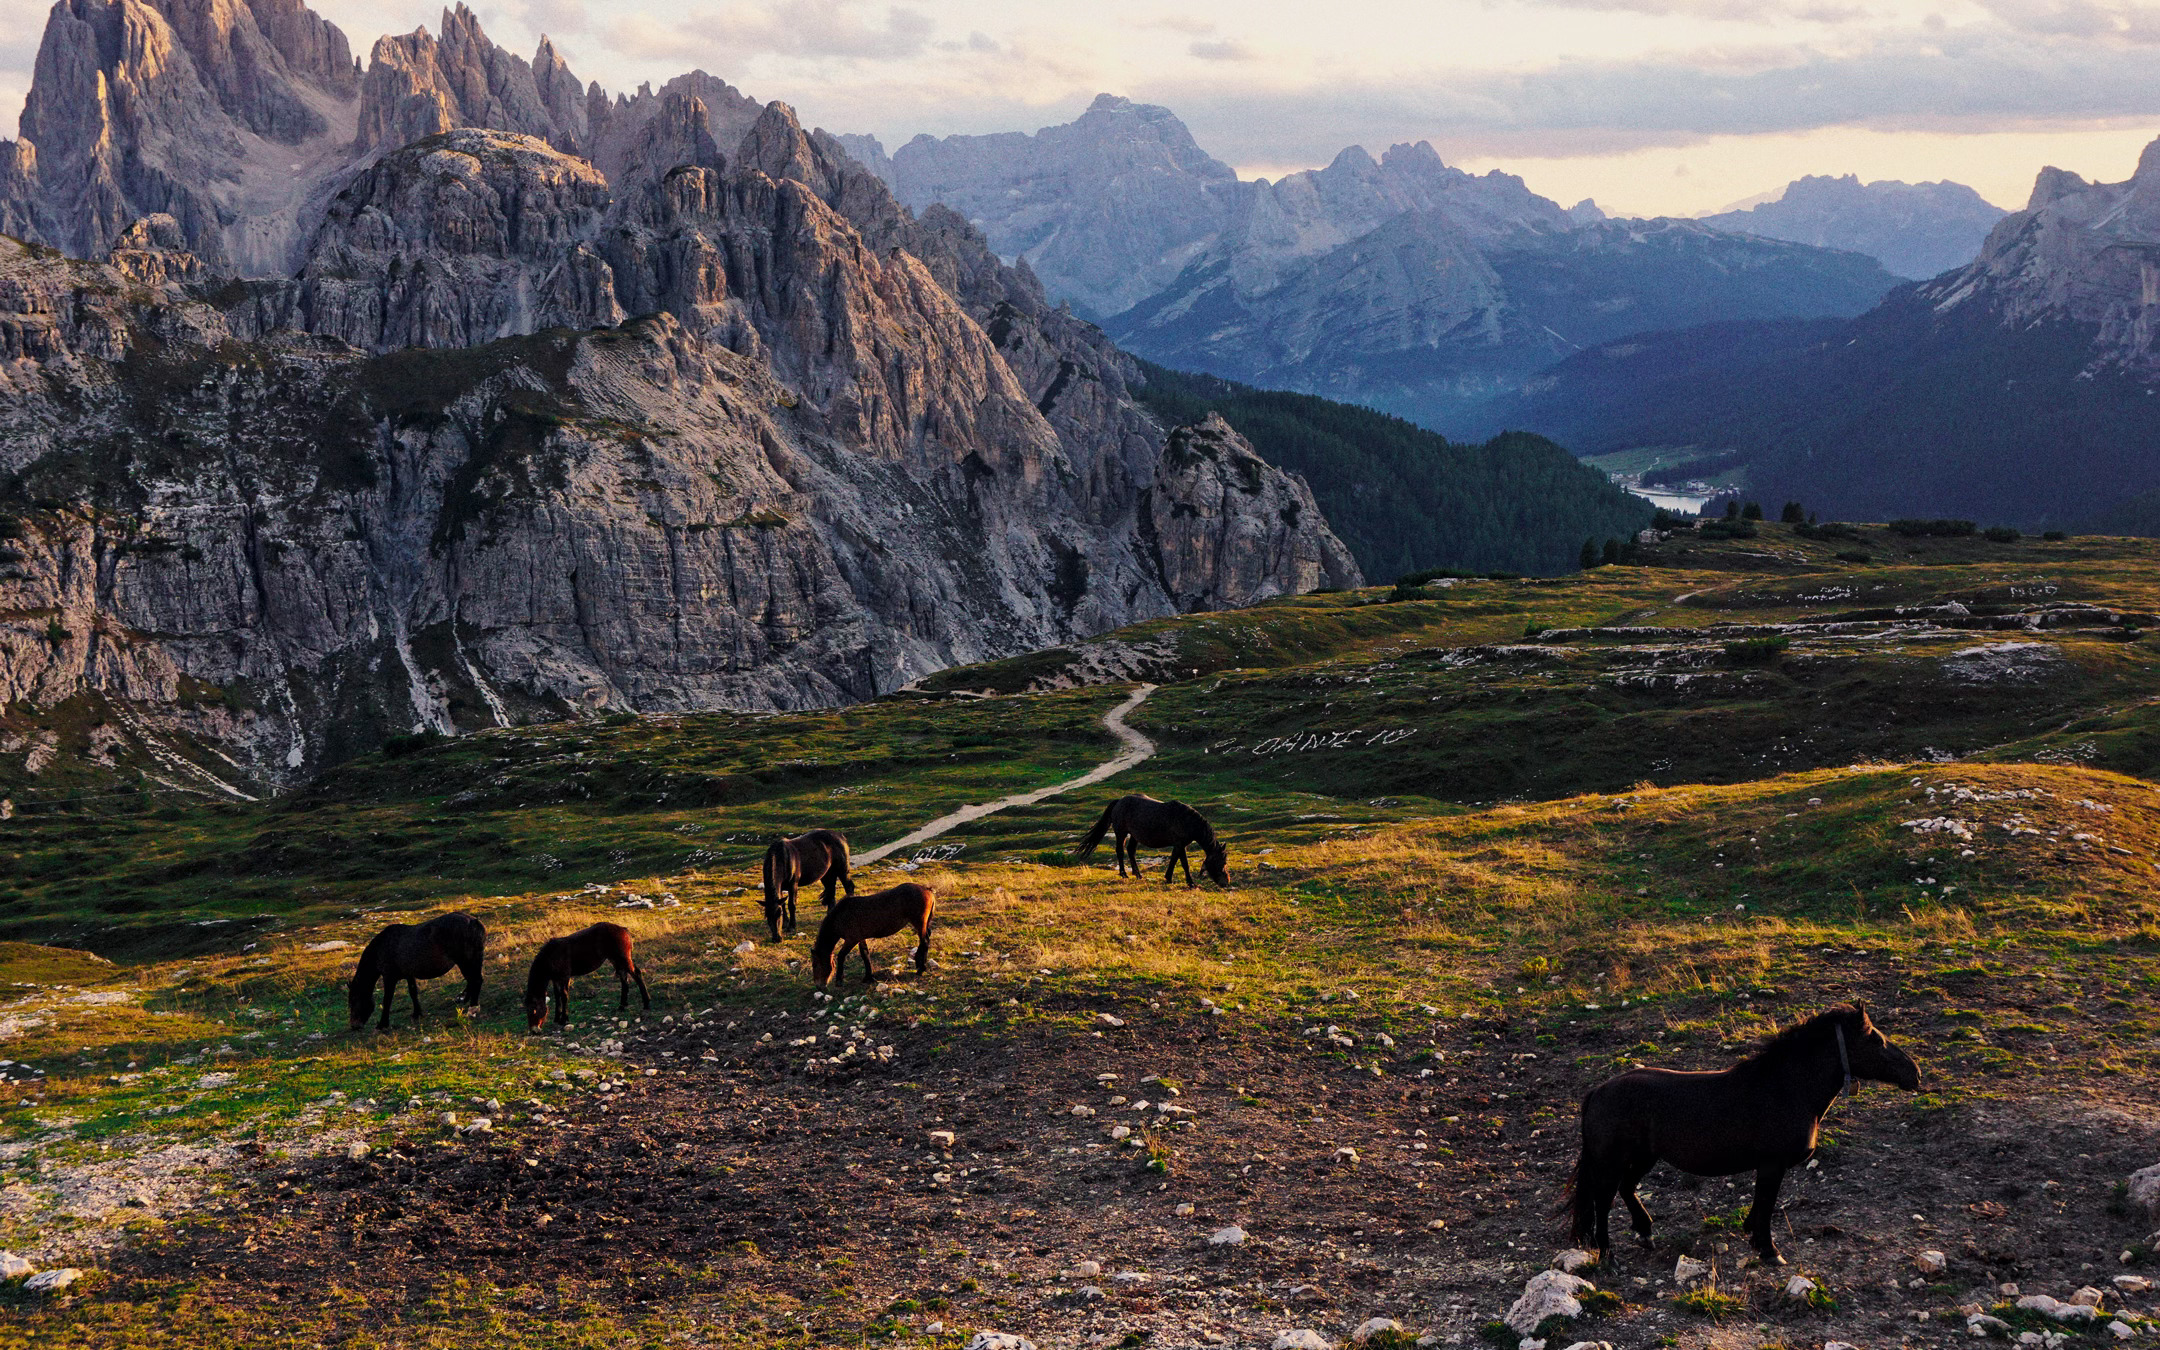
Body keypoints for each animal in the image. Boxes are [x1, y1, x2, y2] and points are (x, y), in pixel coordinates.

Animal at [348, 913, 487, 1031]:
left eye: (354, 1000)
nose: (354, 1026)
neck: (381, 948)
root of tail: (473, 922)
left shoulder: (389, 977)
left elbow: (387, 1000)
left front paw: (382, 1024)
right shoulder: (409, 974)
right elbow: (413, 992)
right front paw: (417, 1013)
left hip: (465, 961)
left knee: (475, 980)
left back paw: (472, 1009)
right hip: (474, 960)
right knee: (473, 980)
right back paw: (464, 999)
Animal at [1074, 793, 1229, 888]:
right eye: (1221, 862)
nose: (1226, 883)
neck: (1187, 820)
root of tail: (1119, 801)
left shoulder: (1180, 845)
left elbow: (1174, 860)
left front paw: (1169, 878)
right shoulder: (1180, 844)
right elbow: (1184, 864)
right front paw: (1190, 883)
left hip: (1134, 835)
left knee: (1131, 851)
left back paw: (1138, 874)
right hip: (1121, 833)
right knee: (1120, 851)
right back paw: (1124, 874)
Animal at [1560, 1000, 1919, 1265]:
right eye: (1876, 1040)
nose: (1914, 1073)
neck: (1786, 1089)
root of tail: (1599, 1091)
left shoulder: (1768, 1166)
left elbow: (1760, 1205)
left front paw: (1753, 1236)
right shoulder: (1772, 1165)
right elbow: (1767, 1204)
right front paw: (1769, 1250)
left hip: (1644, 1158)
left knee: (1626, 1188)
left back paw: (1645, 1232)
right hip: (1612, 1162)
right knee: (1604, 1201)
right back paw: (1608, 1254)